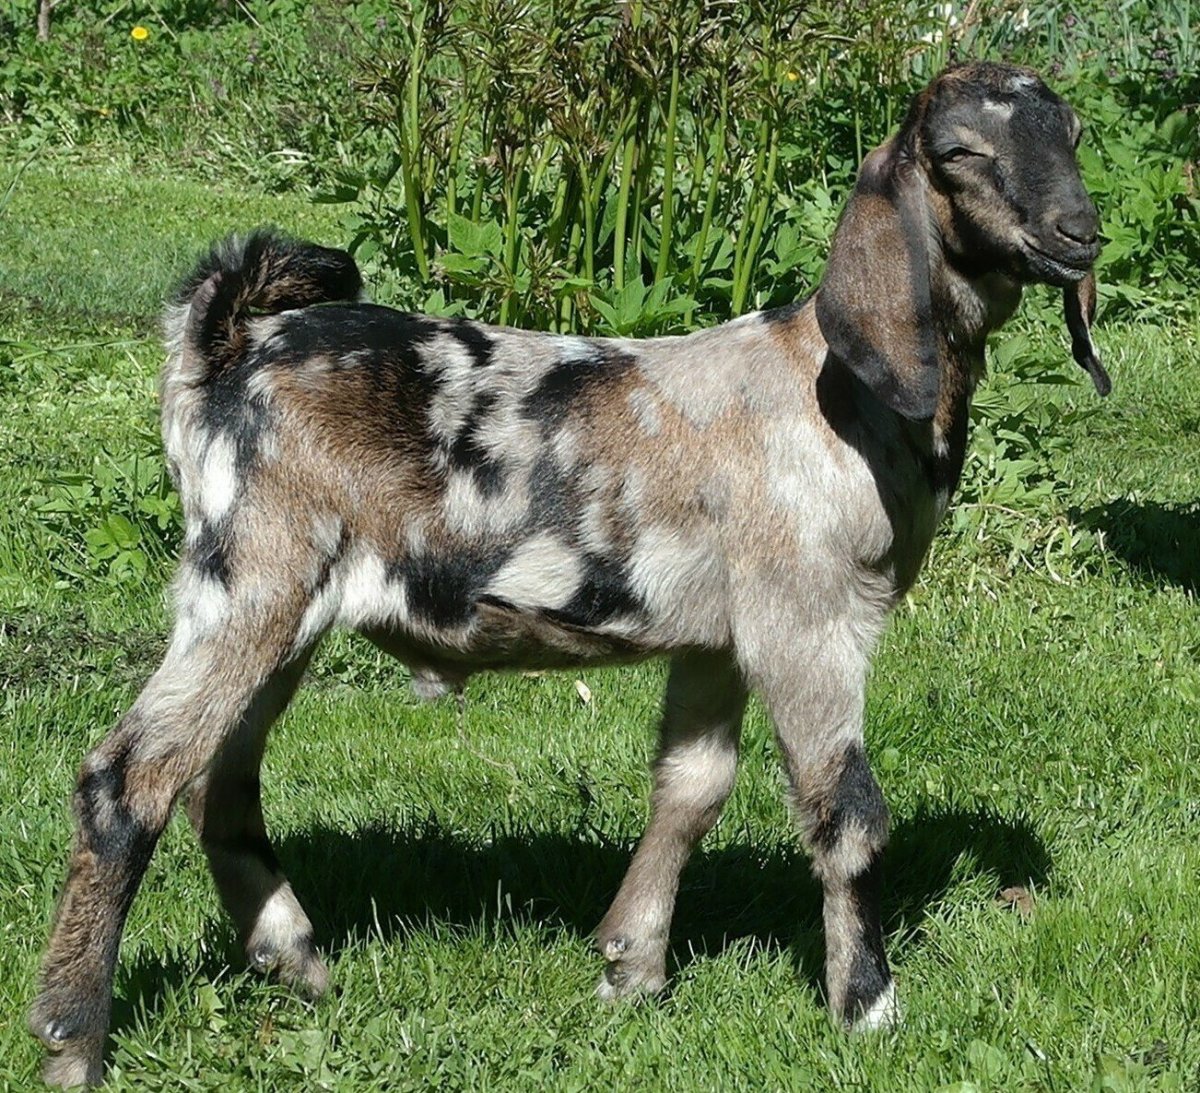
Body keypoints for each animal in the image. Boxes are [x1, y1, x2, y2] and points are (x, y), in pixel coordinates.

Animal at [30, 61, 1108, 1086]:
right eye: (959, 152)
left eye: (1072, 131)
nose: (1080, 232)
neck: (837, 393)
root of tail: (223, 347)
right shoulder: (806, 611)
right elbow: (846, 810)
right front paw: (868, 1006)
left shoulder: (716, 634)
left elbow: (692, 786)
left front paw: (631, 965)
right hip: (251, 571)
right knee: (131, 776)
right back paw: (73, 1037)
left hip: (282, 602)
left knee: (218, 779)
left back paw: (293, 956)